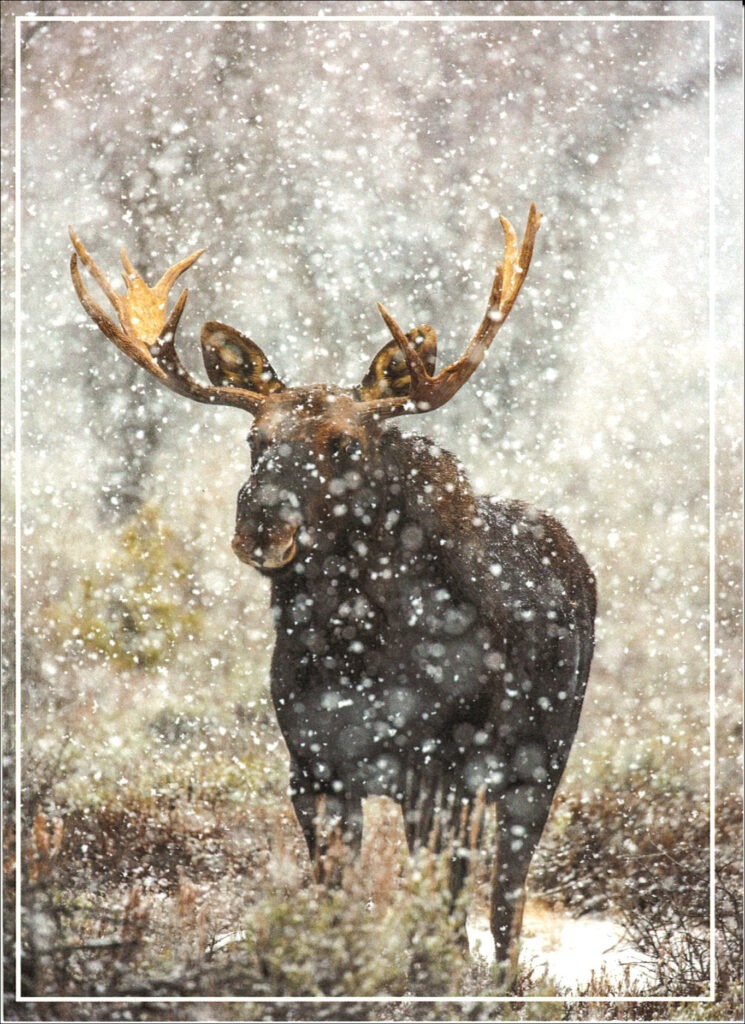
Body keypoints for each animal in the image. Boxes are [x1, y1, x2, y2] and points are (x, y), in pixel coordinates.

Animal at [69, 204, 596, 981]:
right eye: (255, 440)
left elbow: (438, 913)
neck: (356, 653)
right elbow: (333, 900)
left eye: (342, 443)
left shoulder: (435, 771)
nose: (261, 520)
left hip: (537, 764)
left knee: (505, 902)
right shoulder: (313, 769)